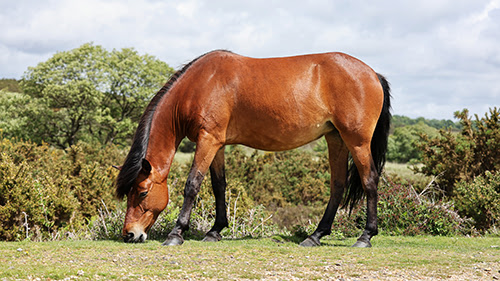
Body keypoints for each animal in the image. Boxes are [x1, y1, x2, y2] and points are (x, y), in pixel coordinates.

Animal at [116, 49, 390, 246]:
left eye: (142, 192)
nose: (129, 234)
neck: (202, 84)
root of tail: (373, 73)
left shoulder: (208, 140)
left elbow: (192, 184)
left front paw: (176, 233)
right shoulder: (217, 144)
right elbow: (219, 185)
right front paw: (215, 231)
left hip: (357, 141)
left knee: (370, 180)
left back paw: (365, 236)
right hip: (336, 139)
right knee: (338, 186)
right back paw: (315, 236)